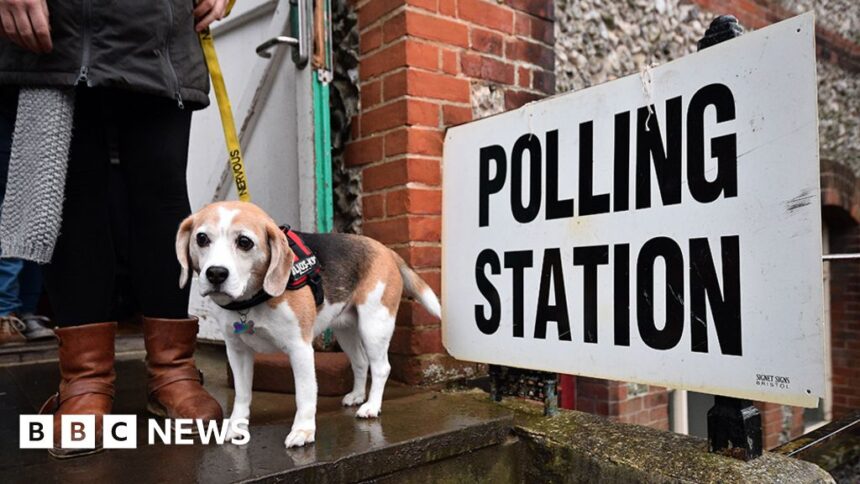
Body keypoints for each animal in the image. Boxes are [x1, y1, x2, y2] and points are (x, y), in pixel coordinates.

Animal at [176, 199, 444, 446]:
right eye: (202, 238)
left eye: (244, 242)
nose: (216, 274)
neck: (252, 300)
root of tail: (385, 250)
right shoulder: (237, 351)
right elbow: (242, 394)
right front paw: (236, 427)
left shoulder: (300, 349)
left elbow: (304, 394)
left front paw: (303, 431)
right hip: (345, 330)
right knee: (360, 362)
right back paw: (358, 395)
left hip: (374, 326)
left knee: (381, 368)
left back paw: (371, 406)